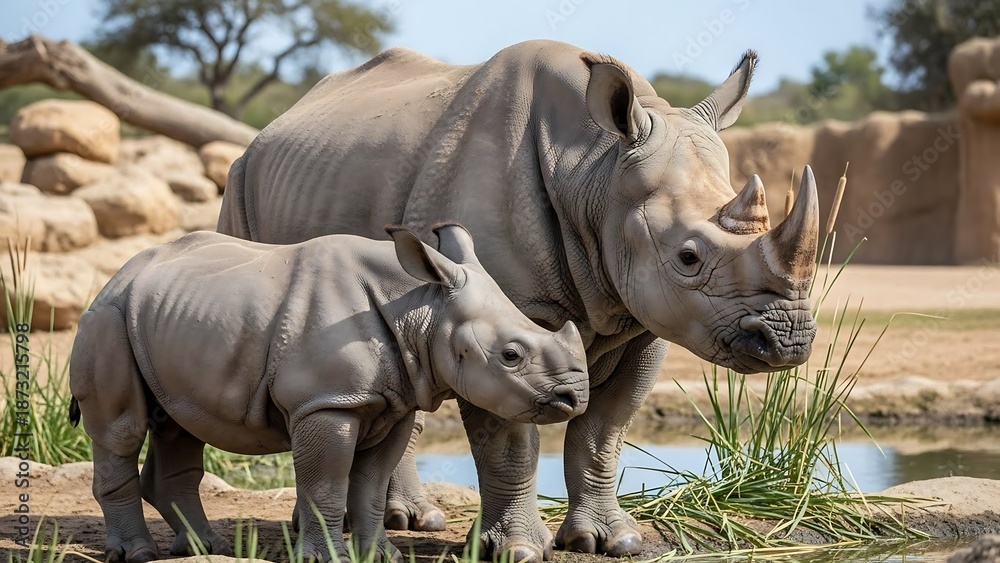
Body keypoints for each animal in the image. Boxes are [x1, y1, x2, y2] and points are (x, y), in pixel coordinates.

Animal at [68, 224, 589, 563]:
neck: (420, 305)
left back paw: (202, 549)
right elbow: (328, 481)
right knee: (122, 430)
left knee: (178, 423)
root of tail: (115, 277)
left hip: (168, 318)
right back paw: (136, 554)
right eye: (511, 355)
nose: (573, 398)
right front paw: (327, 559)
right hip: (107, 317)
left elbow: (371, 483)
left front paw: (381, 556)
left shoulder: (392, 403)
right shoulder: (327, 403)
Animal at [218, 40, 820, 561]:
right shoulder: (498, 317)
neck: (596, 170)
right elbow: (508, 437)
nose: (788, 340)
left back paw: (412, 520)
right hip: (240, 178)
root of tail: (278, 121)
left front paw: (610, 542)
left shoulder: (643, 318)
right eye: (689, 257)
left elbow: (604, 431)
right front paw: (519, 550)